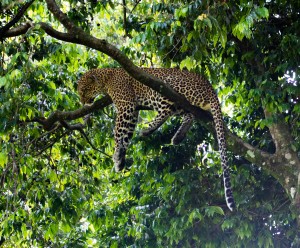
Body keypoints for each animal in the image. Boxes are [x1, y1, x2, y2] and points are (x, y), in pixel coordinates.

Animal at [77, 68, 234, 211]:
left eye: (84, 90)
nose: (83, 103)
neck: (106, 78)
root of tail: (210, 87)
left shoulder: (126, 105)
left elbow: (118, 132)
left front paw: (116, 154)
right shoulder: (132, 111)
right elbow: (126, 135)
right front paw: (120, 158)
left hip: (164, 86)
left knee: (167, 109)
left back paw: (148, 129)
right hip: (182, 105)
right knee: (189, 115)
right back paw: (178, 137)